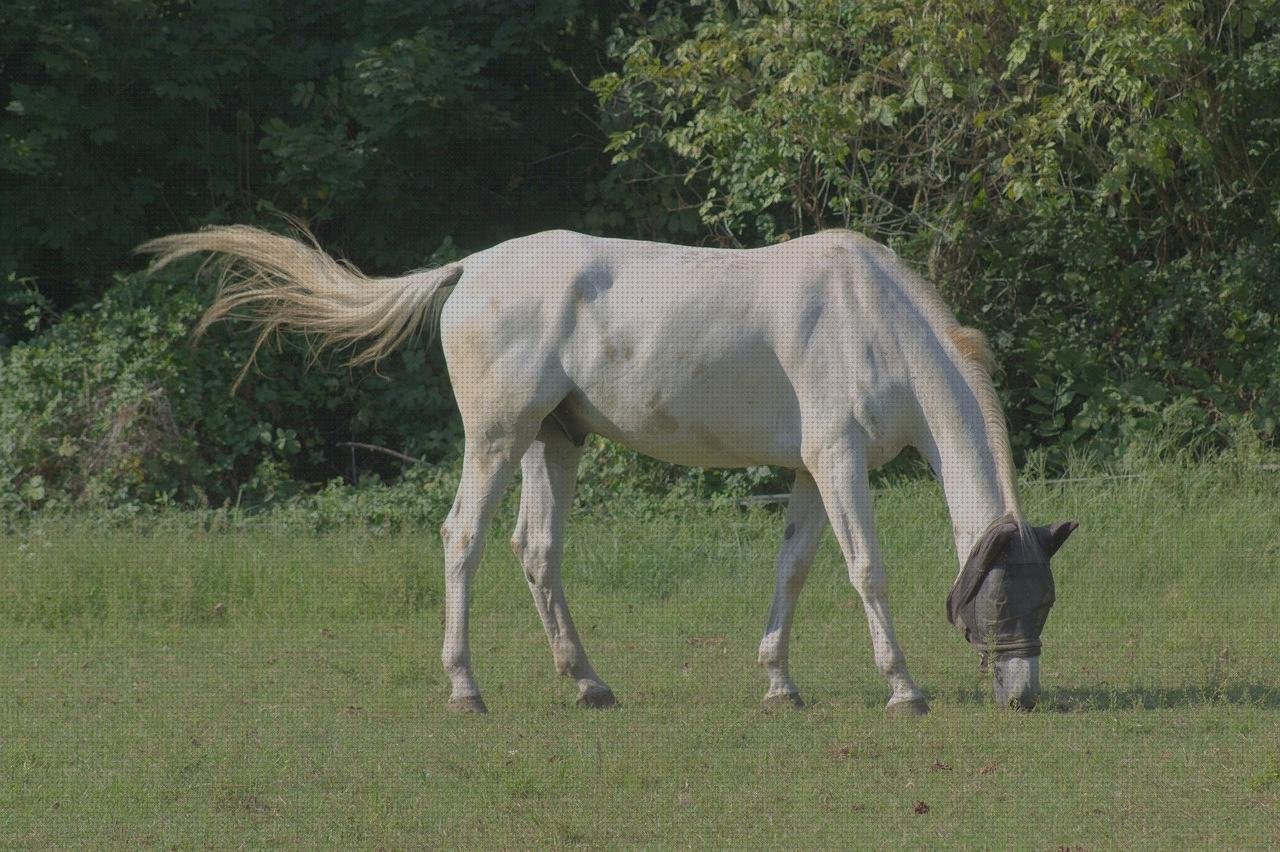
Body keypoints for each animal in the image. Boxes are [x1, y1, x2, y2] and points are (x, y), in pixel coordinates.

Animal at [140, 223, 1075, 711]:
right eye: (1003, 599)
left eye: (1046, 600)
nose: (1026, 693)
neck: (869, 319)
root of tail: (470, 268)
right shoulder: (840, 461)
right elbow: (866, 571)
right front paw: (904, 687)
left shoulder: (813, 473)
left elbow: (795, 569)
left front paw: (779, 684)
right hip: (499, 437)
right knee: (464, 539)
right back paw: (466, 689)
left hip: (554, 441)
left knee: (536, 550)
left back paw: (588, 683)